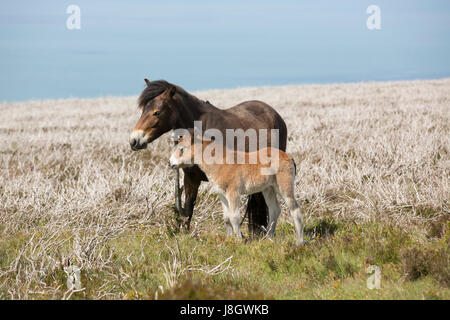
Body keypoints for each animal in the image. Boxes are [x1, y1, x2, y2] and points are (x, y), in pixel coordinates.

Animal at [128, 79, 286, 236]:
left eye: (157, 112)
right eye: (143, 110)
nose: (134, 140)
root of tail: (273, 114)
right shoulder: (191, 179)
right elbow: (188, 210)